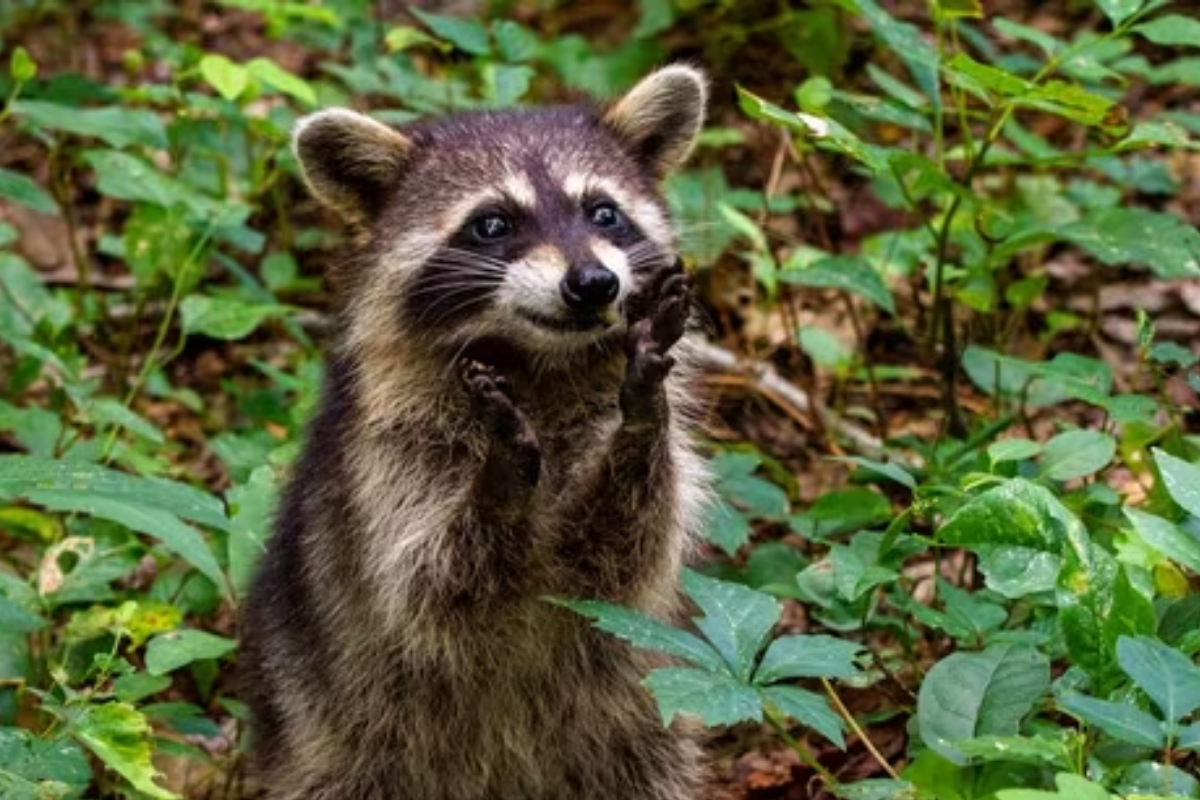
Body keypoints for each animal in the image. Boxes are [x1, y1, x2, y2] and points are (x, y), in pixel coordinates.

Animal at [240, 65, 710, 800]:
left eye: (603, 212)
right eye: (492, 224)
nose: (593, 282)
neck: (538, 363)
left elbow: (624, 555)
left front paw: (640, 418)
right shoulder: (387, 454)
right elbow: (429, 582)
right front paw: (500, 478)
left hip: (635, 731)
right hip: (337, 737)